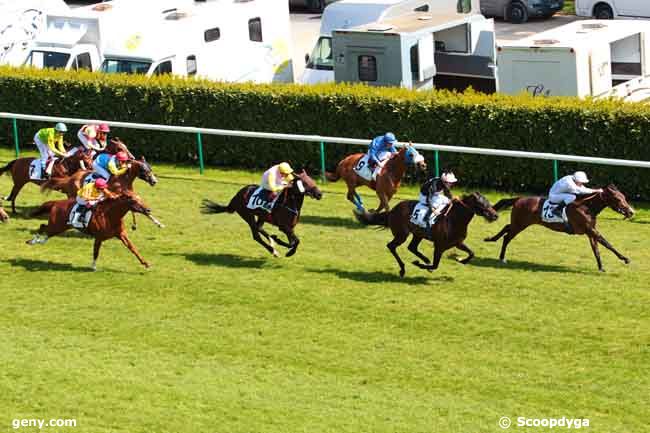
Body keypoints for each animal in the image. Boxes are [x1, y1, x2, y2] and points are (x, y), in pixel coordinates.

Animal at [28, 192, 162, 270]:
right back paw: (33, 241)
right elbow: (96, 252)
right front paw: (93, 266)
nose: (148, 210)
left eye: (140, 199)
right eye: (134, 201)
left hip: (60, 227)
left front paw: (146, 263)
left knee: (45, 230)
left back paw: (40, 241)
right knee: (43, 227)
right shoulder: (99, 237)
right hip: (57, 225)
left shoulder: (121, 234)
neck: (110, 215)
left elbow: (133, 249)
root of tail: (56, 202)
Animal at [354, 192, 496, 276]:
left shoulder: (458, 243)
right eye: (481, 203)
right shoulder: (439, 245)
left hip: (417, 234)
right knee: (391, 246)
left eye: (488, 202)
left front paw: (461, 260)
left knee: (411, 247)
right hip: (402, 234)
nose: (495, 215)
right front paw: (420, 264)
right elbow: (436, 264)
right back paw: (403, 269)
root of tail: (393, 210)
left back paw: (424, 259)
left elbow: (472, 253)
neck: (454, 219)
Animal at [486, 184, 632, 272]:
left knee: (506, 227)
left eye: (624, 197)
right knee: (507, 237)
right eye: (618, 199)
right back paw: (502, 257)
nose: (631, 212)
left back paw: (491, 239)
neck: (586, 207)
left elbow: (596, 250)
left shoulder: (590, 232)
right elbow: (607, 243)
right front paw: (625, 259)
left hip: (519, 223)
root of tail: (518, 199)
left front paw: (601, 267)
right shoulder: (589, 230)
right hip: (520, 224)